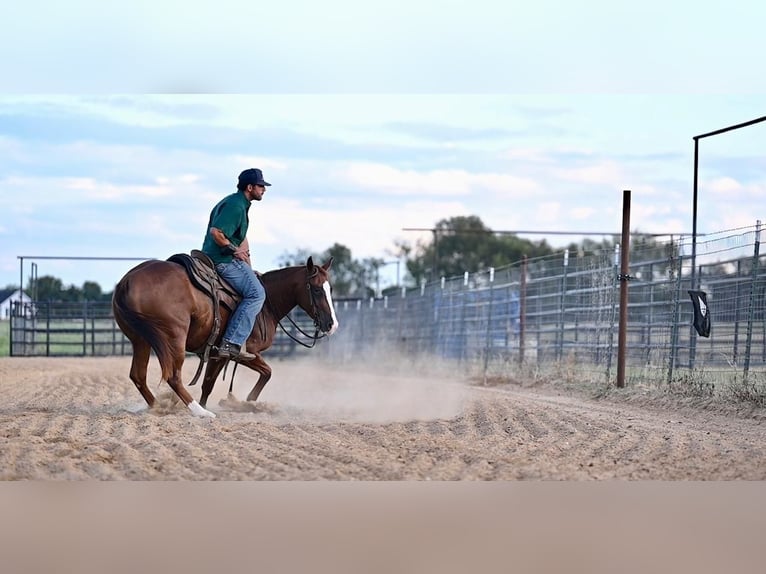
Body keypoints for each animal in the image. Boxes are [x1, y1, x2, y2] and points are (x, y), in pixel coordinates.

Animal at [112, 256, 340, 418]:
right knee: (173, 376)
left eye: (330, 288)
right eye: (317, 290)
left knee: (138, 375)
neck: (266, 304)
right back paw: (200, 412)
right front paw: (248, 402)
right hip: (174, 337)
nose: (332, 325)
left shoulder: (217, 354)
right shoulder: (244, 353)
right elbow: (267, 372)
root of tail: (126, 282)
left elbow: (208, 384)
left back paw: (159, 406)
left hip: (140, 339)